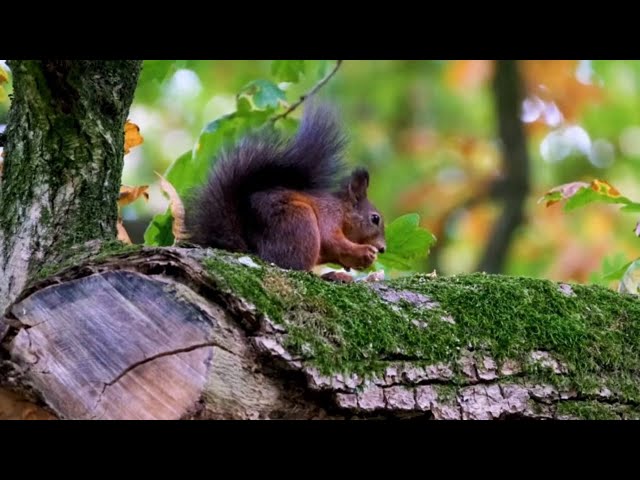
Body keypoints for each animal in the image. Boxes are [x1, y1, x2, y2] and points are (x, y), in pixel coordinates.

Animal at [182, 103, 388, 280]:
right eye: (375, 218)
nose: (383, 248)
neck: (343, 211)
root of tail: (253, 249)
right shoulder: (329, 216)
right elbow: (332, 240)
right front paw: (364, 252)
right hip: (299, 223)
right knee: (294, 266)